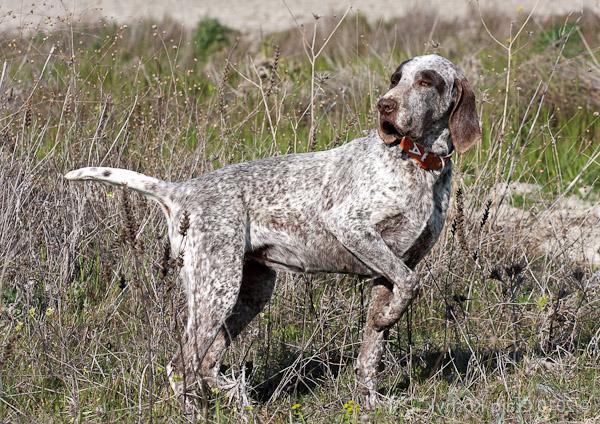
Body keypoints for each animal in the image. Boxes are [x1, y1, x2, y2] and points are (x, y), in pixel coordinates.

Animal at [64, 53, 478, 410]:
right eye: (396, 79)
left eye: (426, 81)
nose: (384, 106)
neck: (420, 164)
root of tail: (184, 190)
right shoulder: (352, 228)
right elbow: (411, 285)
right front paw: (388, 320)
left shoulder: (390, 267)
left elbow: (371, 349)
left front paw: (371, 400)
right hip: (217, 288)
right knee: (183, 365)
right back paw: (198, 409)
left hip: (250, 290)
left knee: (207, 364)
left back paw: (235, 396)